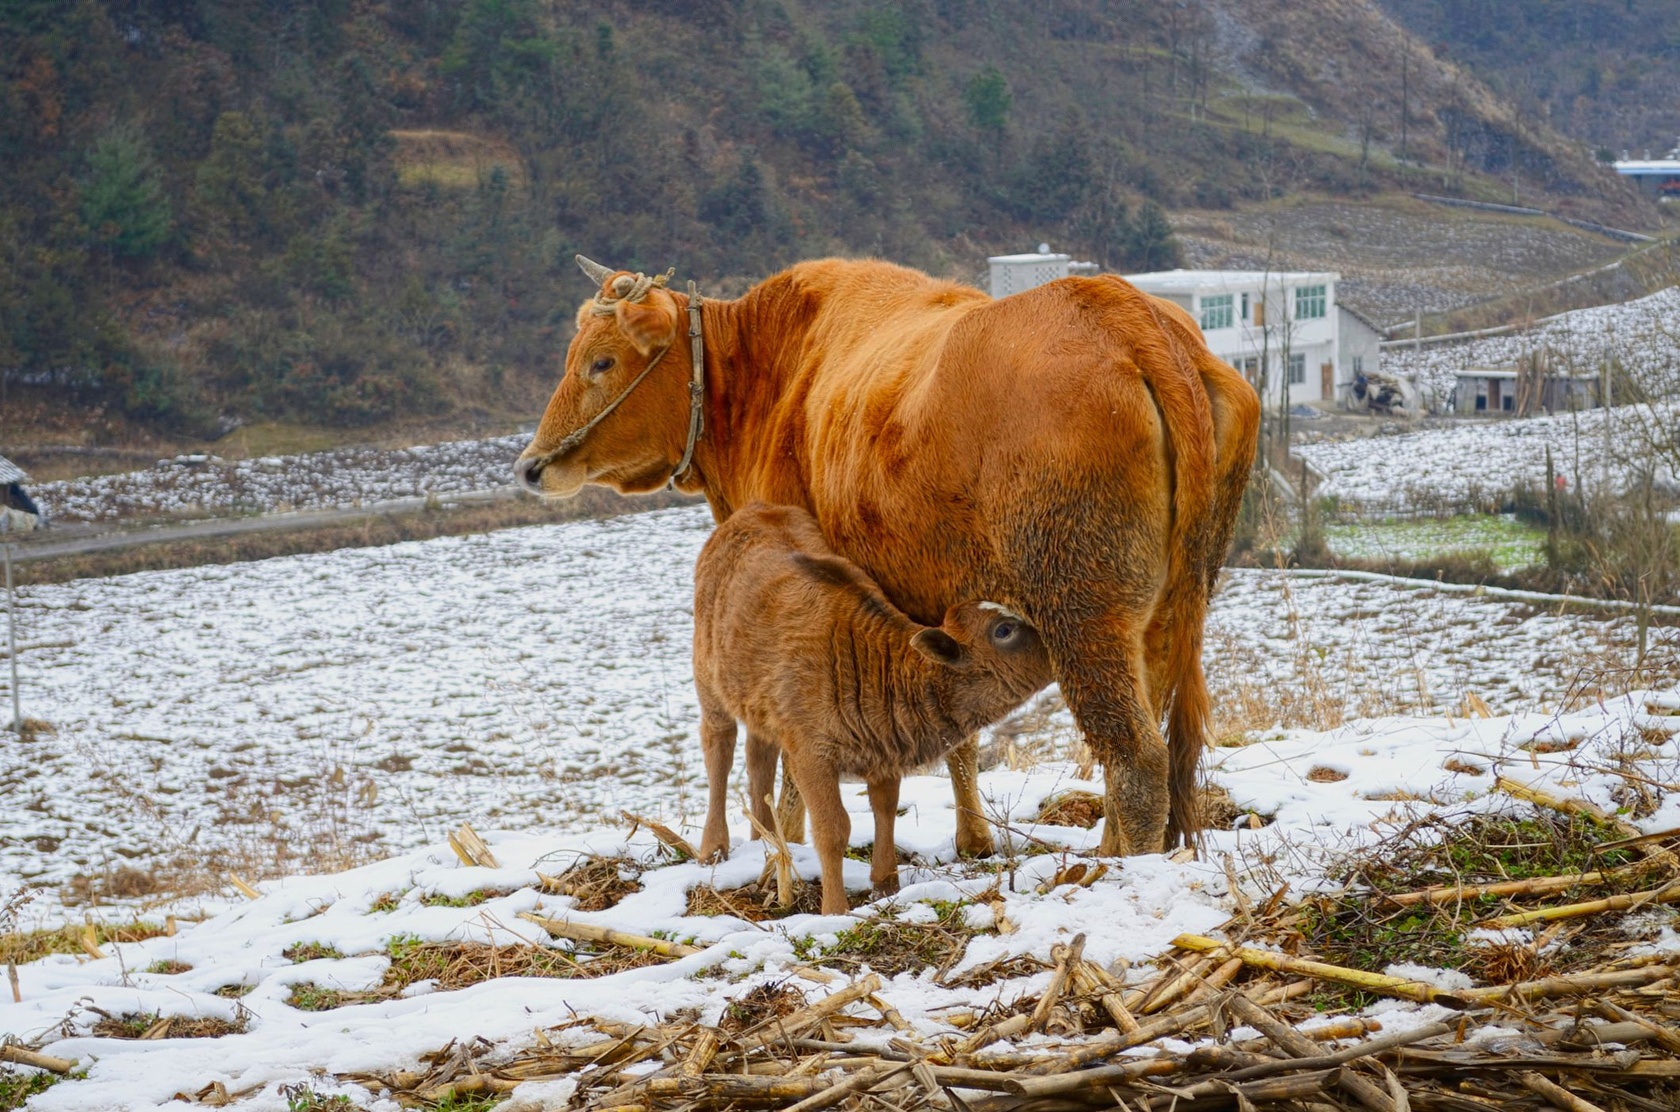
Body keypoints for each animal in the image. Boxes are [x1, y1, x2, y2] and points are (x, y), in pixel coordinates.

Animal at [517, 257, 1256, 856]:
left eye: (602, 361)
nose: (530, 466)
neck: (770, 376)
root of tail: (1119, 309)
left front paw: (795, 841)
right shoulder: (937, 605)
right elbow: (958, 731)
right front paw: (973, 840)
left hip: (1081, 611)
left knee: (1135, 758)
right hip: (1166, 609)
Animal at [688, 503, 1041, 913]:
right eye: (1003, 631)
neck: (870, 657)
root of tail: (753, 511)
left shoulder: (884, 750)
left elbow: (885, 808)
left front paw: (886, 884)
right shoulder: (812, 758)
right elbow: (833, 828)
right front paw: (834, 909)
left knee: (759, 755)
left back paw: (766, 839)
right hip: (709, 688)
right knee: (720, 750)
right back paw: (714, 848)